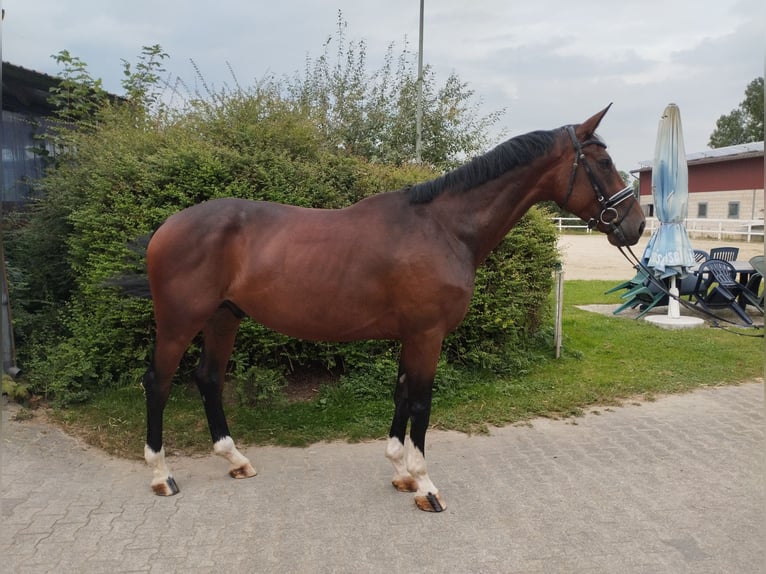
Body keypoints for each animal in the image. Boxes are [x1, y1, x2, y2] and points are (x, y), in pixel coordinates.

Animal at [140, 107, 648, 512]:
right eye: (604, 162)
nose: (636, 225)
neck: (444, 228)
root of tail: (167, 227)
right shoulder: (428, 333)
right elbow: (421, 402)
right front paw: (425, 485)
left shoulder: (412, 334)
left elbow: (402, 394)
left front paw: (401, 472)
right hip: (180, 322)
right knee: (158, 382)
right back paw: (161, 475)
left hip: (223, 317)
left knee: (208, 378)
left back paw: (236, 460)